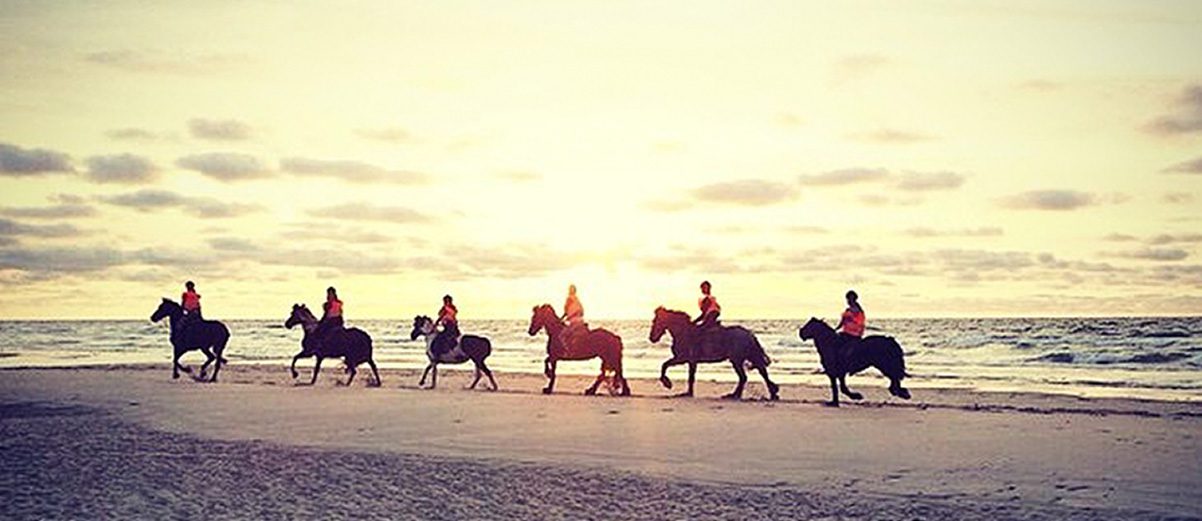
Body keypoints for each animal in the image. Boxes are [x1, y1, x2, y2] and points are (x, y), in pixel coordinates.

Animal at [649, 306, 778, 399]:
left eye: (655, 321)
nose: (652, 338)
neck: (683, 332)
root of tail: (750, 334)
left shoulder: (686, 359)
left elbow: (685, 374)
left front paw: (673, 386)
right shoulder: (684, 360)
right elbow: (666, 365)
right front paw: (672, 385)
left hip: (737, 360)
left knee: (745, 377)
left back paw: (735, 395)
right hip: (746, 357)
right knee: (760, 372)